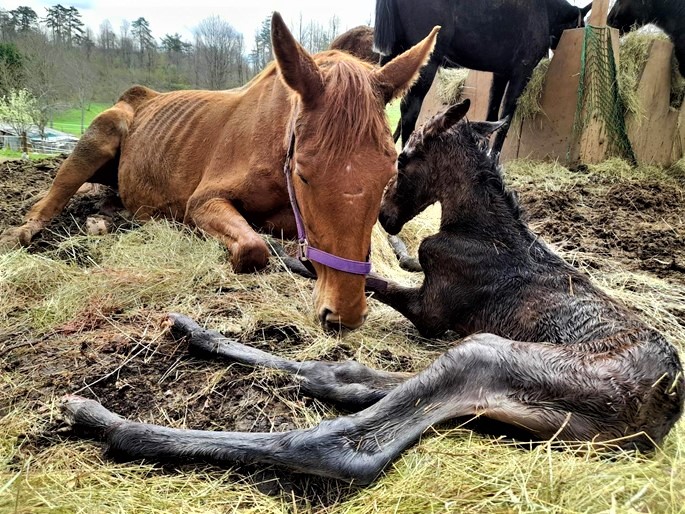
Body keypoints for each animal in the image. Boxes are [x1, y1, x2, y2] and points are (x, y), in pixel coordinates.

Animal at [372, 0, 592, 151]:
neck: (545, 11)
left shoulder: (501, 74)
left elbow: (492, 115)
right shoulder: (521, 73)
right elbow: (506, 118)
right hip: (426, 61)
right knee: (410, 110)